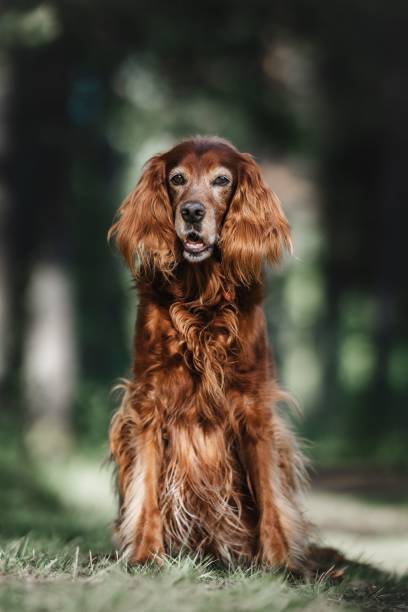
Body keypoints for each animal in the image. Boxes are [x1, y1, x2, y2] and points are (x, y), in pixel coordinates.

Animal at [108, 137, 310, 568]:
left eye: (221, 180)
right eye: (177, 179)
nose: (192, 212)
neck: (200, 297)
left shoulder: (253, 403)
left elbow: (269, 494)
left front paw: (277, 561)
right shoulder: (147, 401)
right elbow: (147, 487)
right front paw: (147, 551)